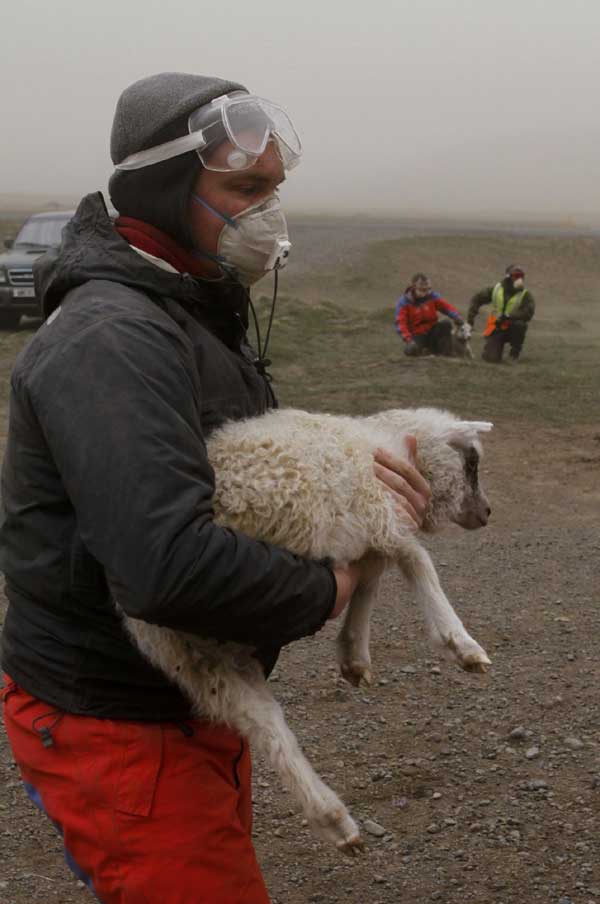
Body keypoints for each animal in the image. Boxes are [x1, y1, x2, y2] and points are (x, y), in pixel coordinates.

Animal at [118, 408, 492, 856]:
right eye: (471, 462)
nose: (487, 512)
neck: (386, 443)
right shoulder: (380, 509)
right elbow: (413, 560)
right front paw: (458, 641)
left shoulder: (375, 518)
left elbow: (373, 572)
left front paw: (354, 653)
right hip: (289, 538)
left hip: (197, 654)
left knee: (265, 725)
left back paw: (332, 819)